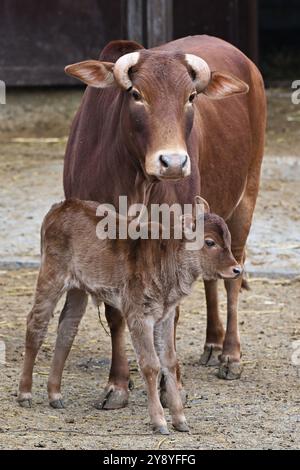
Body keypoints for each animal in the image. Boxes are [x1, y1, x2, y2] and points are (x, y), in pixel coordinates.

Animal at [17, 197, 241, 434]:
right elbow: (151, 365)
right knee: (36, 323)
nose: (237, 269)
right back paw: (25, 394)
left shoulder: (166, 315)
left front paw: (180, 419)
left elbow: (170, 362)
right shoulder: (138, 315)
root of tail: (60, 206)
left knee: (67, 327)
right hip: (52, 274)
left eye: (228, 238)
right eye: (209, 242)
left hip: (78, 287)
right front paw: (159, 422)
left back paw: (55, 395)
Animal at [62, 35, 264, 408]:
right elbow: (116, 314)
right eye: (136, 94)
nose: (173, 162)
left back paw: (230, 355)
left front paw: (172, 385)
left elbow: (170, 316)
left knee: (232, 277)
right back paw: (212, 343)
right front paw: (118, 384)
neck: (134, 184)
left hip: (247, 196)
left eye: (191, 97)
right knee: (212, 275)